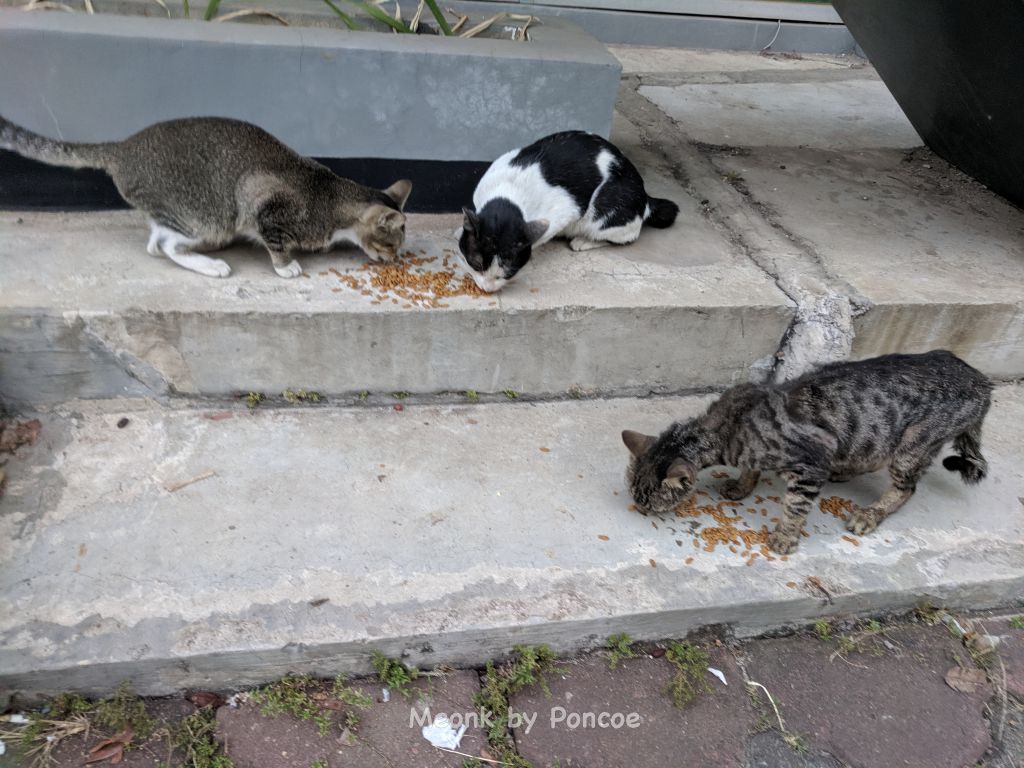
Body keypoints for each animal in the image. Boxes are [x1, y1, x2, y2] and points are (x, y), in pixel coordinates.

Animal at [0, 116, 412, 278]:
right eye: (392, 245)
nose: (395, 260)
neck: (330, 194)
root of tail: (121, 148)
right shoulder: (264, 203)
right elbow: (276, 243)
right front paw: (285, 266)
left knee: (155, 241)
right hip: (207, 216)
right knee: (166, 244)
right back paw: (212, 266)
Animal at [458, 130, 679, 292]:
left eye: (506, 274)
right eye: (476, 264)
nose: (487, 288)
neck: (509, 195)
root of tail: (646, 196)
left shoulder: (566, 209)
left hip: (609, 211)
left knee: (625, 236)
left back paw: (582, 241)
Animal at [621, 350, 992, 554]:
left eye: (649, 500)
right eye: (636, 496)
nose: (640, 509)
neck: (727, 428)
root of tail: (982, 382)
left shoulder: (810, 466)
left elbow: (795, 507)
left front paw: (785, 537)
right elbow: (751, 469)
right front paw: (741, 486)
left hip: (912, 445)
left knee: (906, 488)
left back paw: (869, 514)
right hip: (875, 436)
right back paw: (844, 470)